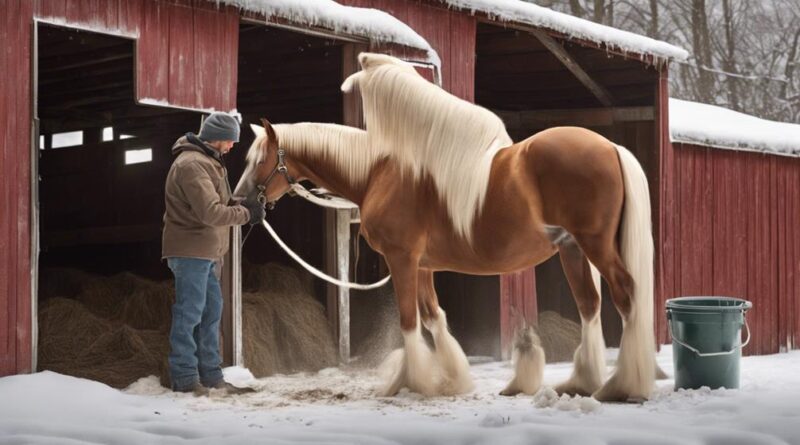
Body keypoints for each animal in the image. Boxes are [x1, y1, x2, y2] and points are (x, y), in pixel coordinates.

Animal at [236, 53, 656, 400]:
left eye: (260, 160)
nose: (241, 201)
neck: (378, 174)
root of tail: (610, 147)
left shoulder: (402, 259)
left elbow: (409, 320)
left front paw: (416, 381)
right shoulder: (422, 265)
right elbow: (432, 316)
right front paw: (451, 378)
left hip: (595, 245)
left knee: (626, 296)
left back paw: (624, 384)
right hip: (572, 250)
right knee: (590, 305)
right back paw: (582, 382)